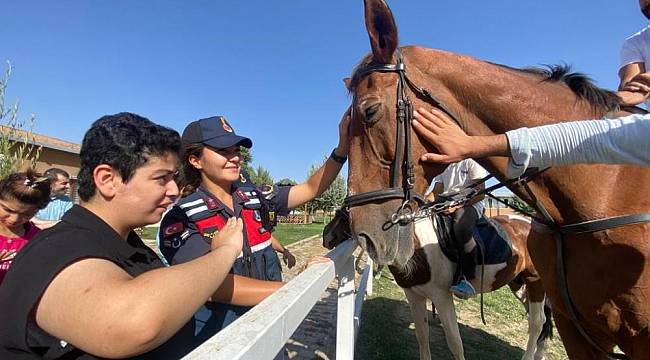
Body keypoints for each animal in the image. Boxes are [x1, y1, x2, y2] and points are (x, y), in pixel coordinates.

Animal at [344, 0, 648, 360]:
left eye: (369, 112)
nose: (365, 235)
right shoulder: (417, 295)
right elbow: (422, 339)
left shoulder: (442, 297)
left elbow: (455, 344)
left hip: (536, 285)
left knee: (536, 326)